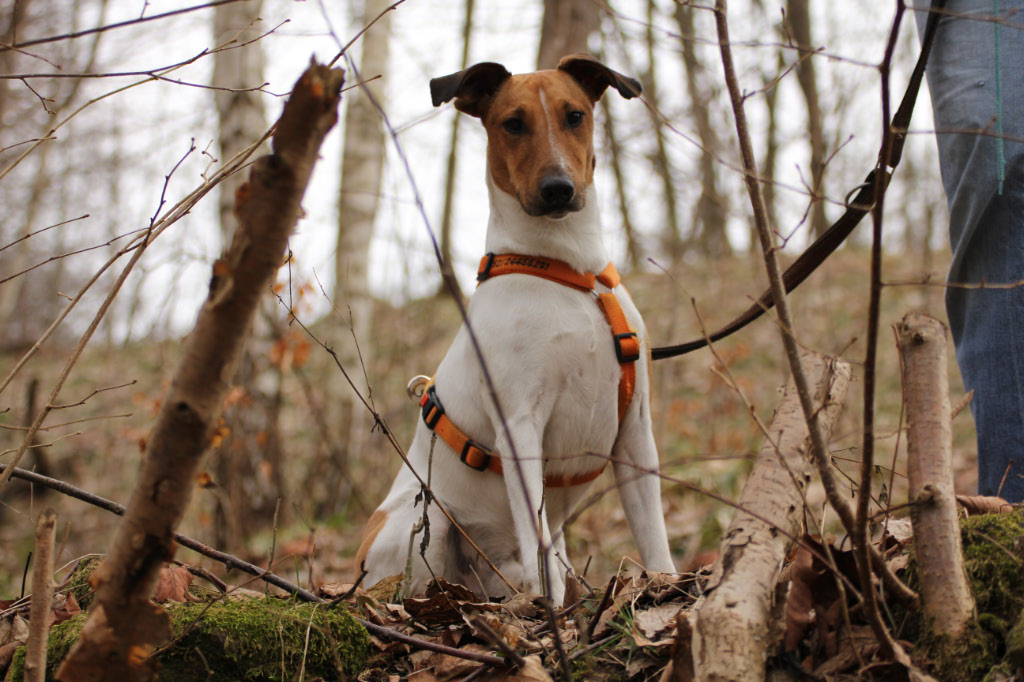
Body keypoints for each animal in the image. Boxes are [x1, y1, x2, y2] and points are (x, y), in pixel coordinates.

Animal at [355, 55, 676, 605]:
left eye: (575, 115)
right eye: (513, 124)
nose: (558, 189)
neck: (569, 273)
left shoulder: (634, 431)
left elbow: (654, 540)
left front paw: (669, 592)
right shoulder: (519, 424)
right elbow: (539, 544)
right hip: (424, 518)